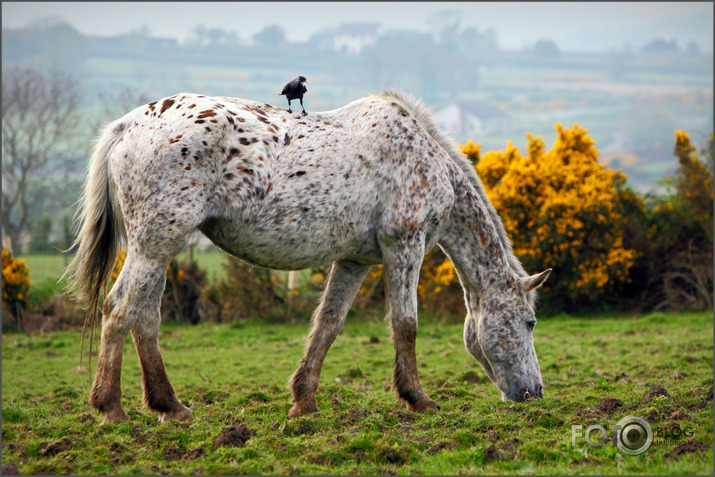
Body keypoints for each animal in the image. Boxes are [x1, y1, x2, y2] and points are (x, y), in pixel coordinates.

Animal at [64, 90, 552, 424]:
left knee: (145, 318)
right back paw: (110, 408)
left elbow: (328, 325)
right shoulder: (404, 246)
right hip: (154, 243)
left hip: (160, 247)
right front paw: (418, 399)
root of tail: (128, 125)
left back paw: (171, 406)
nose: (534, 393)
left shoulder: (355, 261)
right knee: (119, 309)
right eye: (530, 322)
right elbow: (405, 325)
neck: (423, 156)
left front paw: (304, 401)